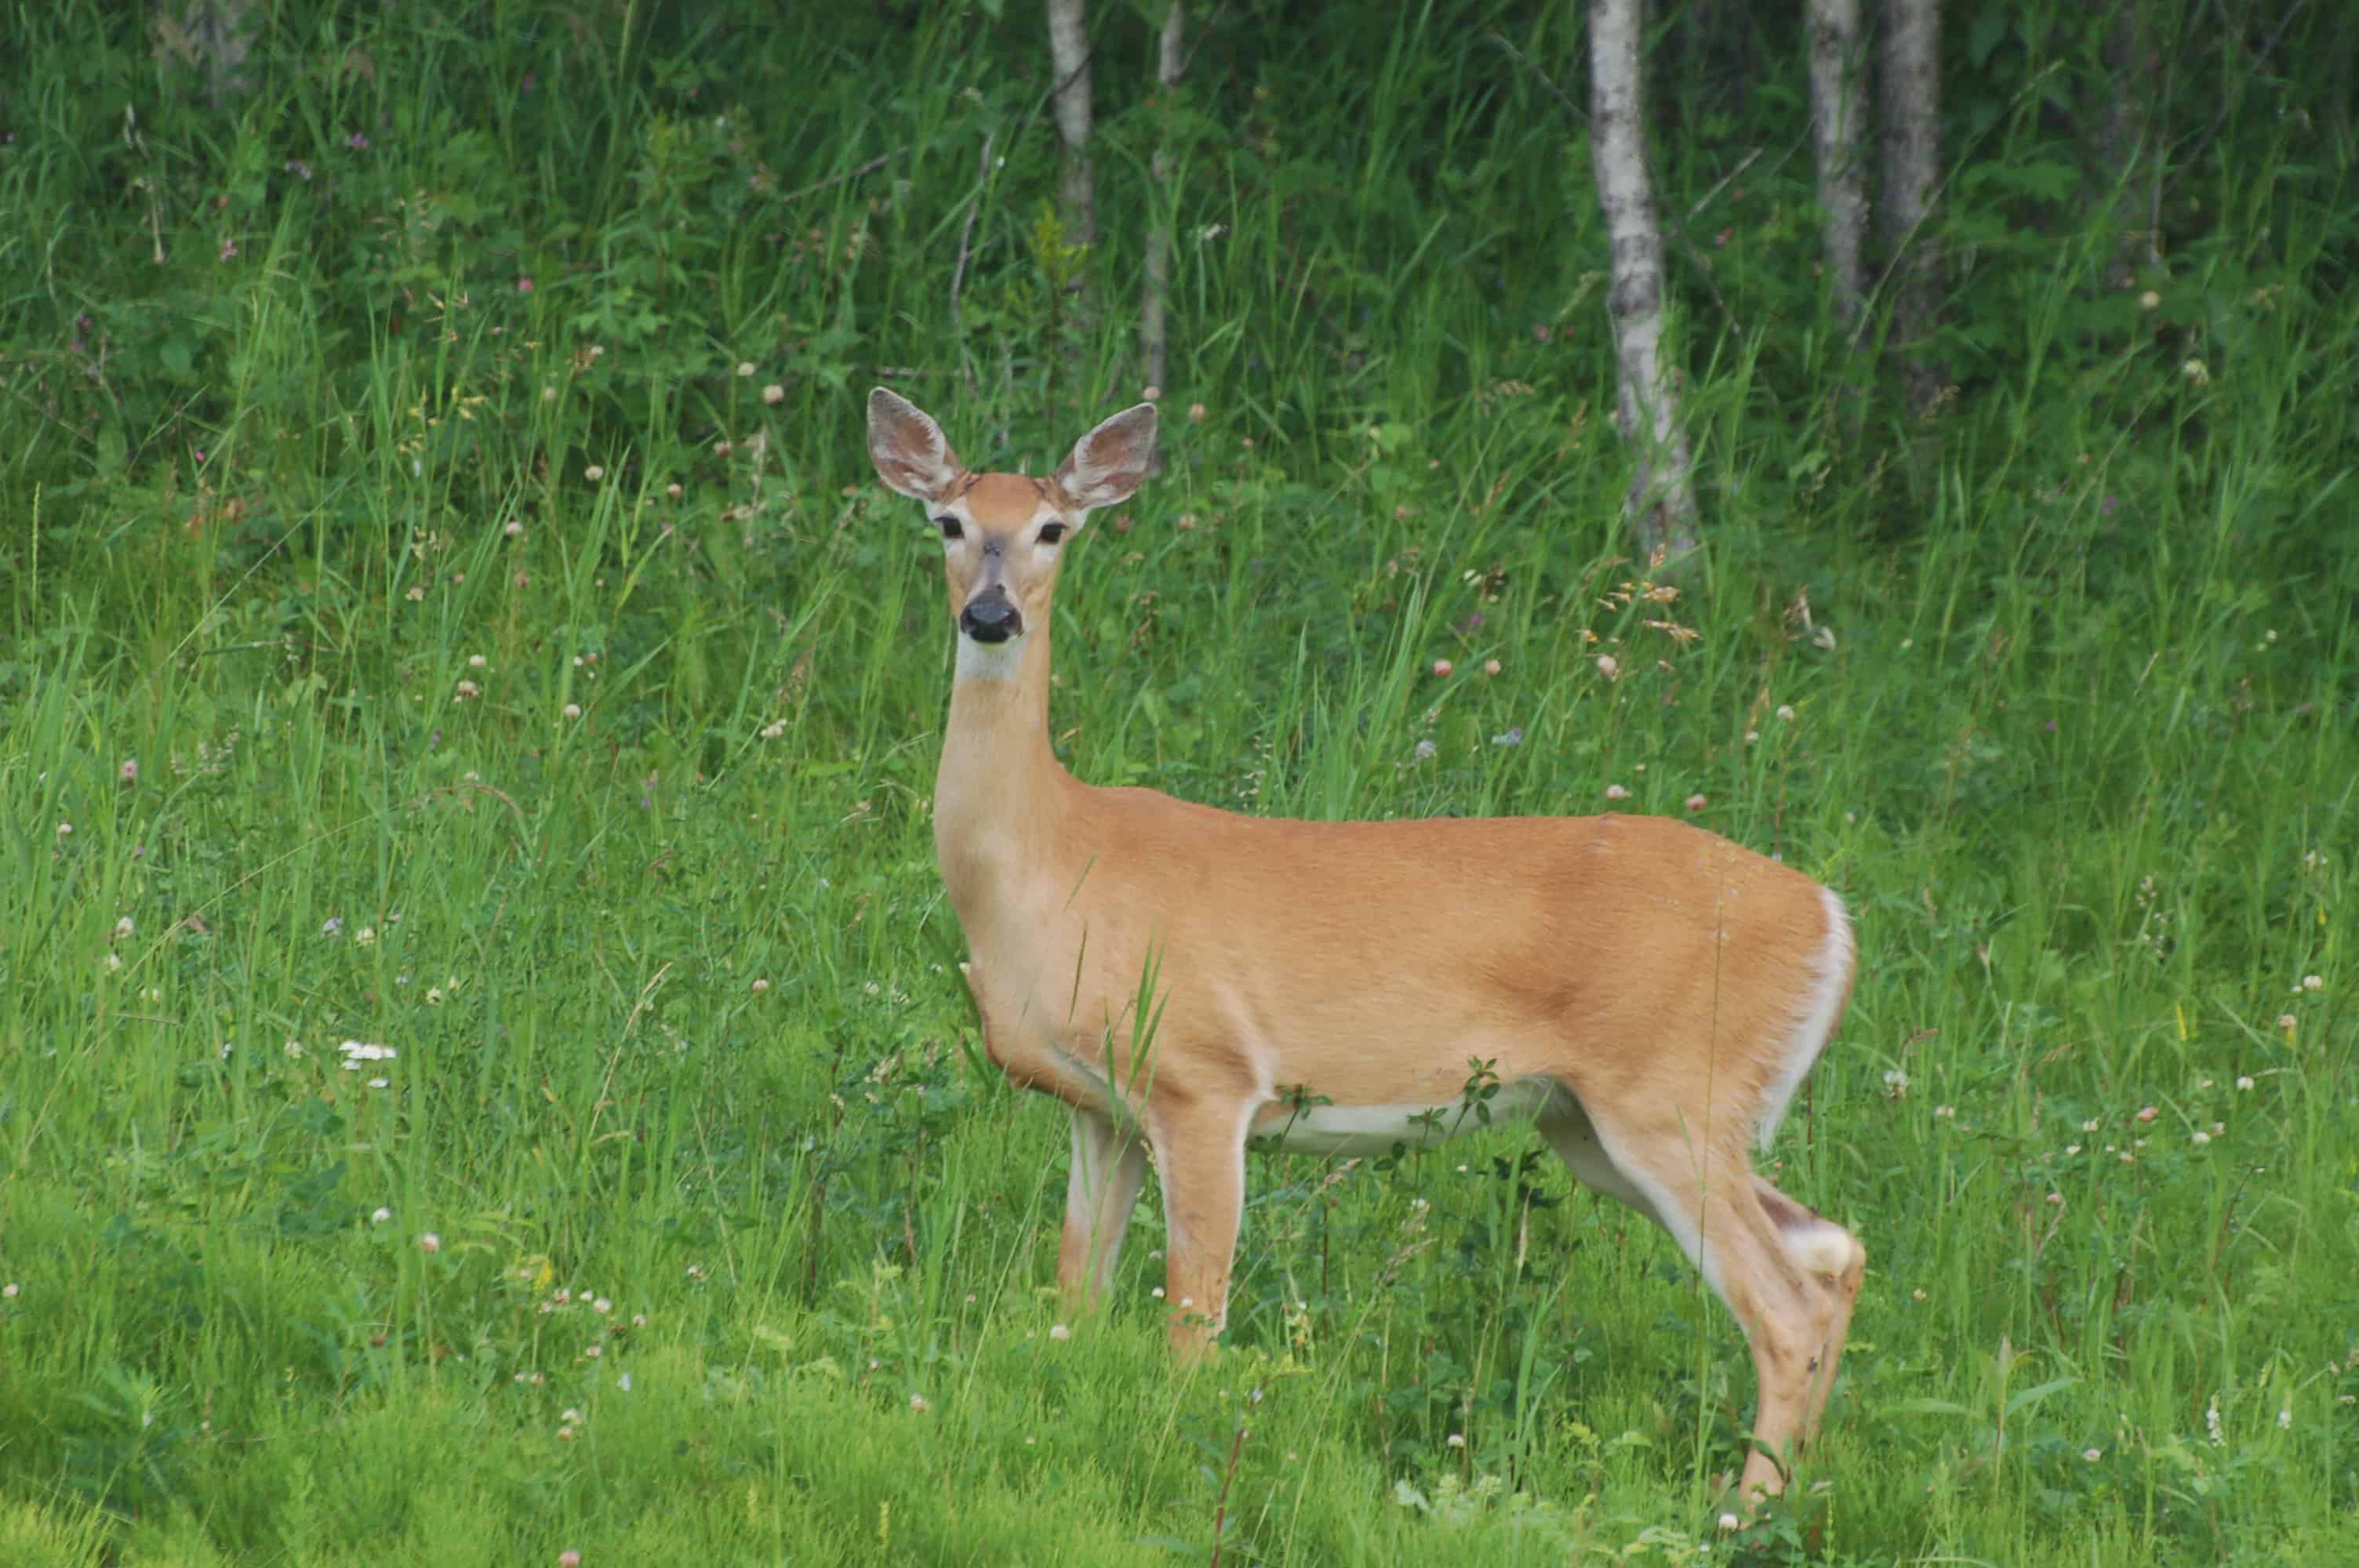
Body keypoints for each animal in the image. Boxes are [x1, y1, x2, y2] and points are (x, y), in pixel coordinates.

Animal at [864, 386, 1867, 1503]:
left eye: (1052, 528)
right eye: (947, 522)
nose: (991, 615)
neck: (1049, 861)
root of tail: (1829, 917)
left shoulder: (1202, 1076)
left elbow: (1191, 1321)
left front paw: (1182, 1458)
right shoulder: (1101, 1107)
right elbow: (1074, 1293)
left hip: (1672, 1090)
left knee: (1782, 1305)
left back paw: (1740, 1512)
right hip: (1596, 1119)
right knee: (1832, 1251)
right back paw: (1792, 1493)